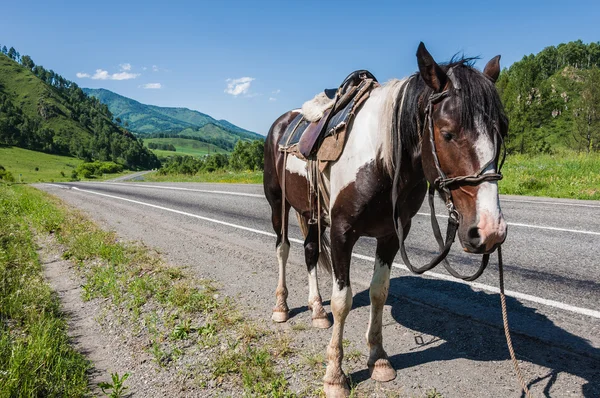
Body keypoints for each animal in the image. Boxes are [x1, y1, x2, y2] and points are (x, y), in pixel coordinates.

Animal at [262, 42, 506, 396]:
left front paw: (378, 359)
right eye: (447, 133)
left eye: (501, 132)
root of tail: (281, 123)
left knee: (309, 252)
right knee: (282, 249)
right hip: (278, 204)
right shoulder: (341, 233)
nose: (490, 231)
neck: (381, 160)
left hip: (311, 213)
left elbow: (379, 292)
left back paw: (317, 310)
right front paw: (335, 374)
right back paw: (281, 307)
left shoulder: (391, 235)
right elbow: (343, 300)